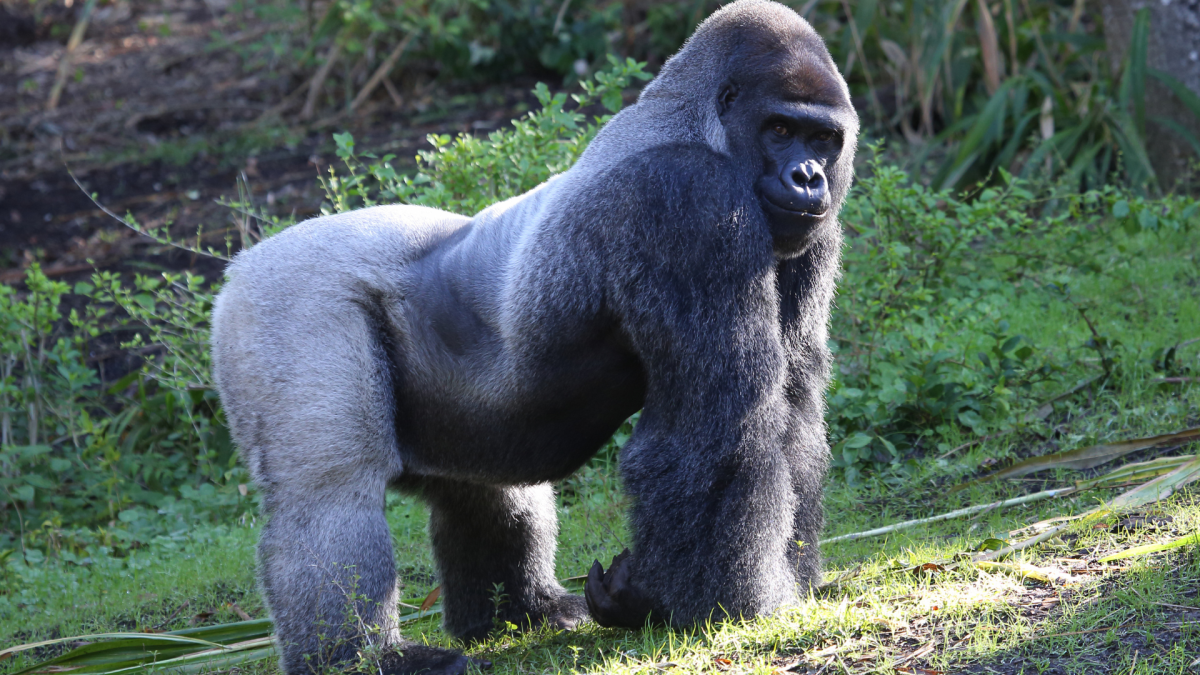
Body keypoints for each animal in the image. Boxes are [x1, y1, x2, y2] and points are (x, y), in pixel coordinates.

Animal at [211, 2, 859, 667]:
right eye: (779, 130)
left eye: (822, 139)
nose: (809, 177)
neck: (701, 124)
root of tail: (240, 264)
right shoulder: (688, 196)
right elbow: (719, 424)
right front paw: (716, 607)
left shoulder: (808, 232)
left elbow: (792, 407)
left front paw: (783, 582)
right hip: (284, 299)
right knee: (330, 496)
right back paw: (364, 659)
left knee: (485, 488)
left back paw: (522, 612)